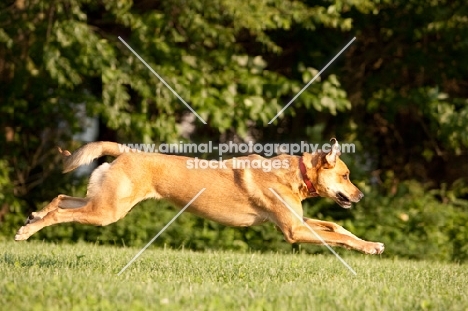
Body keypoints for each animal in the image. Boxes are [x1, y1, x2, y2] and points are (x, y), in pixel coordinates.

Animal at [14, 140, 384, 256]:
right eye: (346, 176)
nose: (361, 194)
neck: (297, 174)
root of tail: (126, 151)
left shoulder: (298, 220)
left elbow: (337, 227)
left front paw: (372, 244)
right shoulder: (294, 230)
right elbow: (336, 237)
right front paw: (369, 247)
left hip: (103, 202)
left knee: (61, 198)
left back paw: (34, 216)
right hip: (107, 211)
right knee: (61, 213)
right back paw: (27, 231)